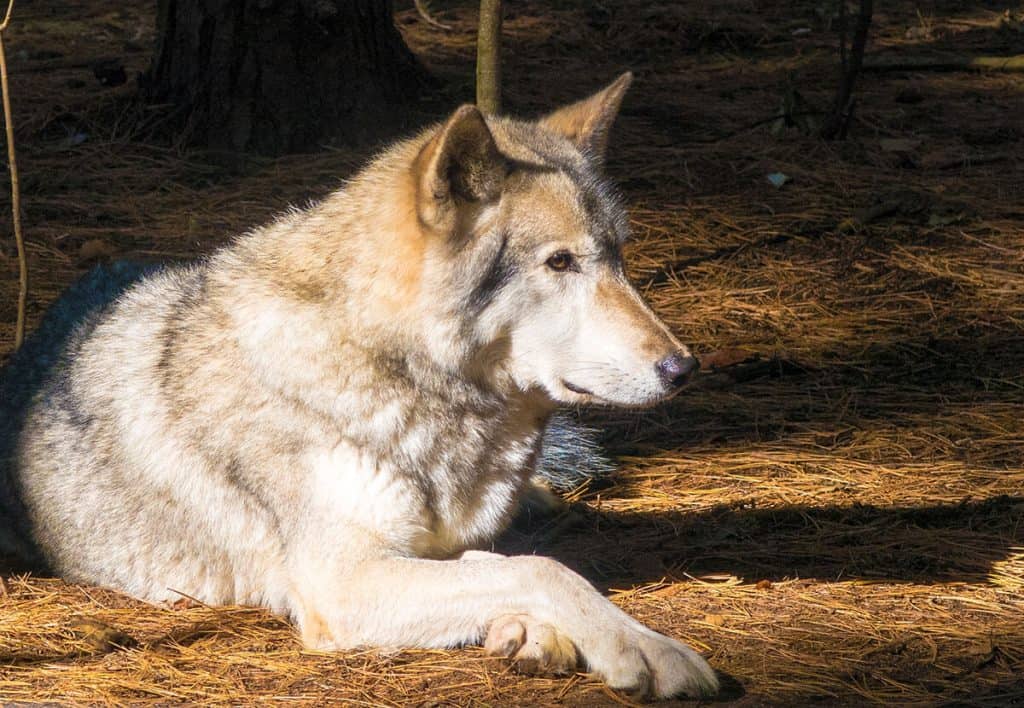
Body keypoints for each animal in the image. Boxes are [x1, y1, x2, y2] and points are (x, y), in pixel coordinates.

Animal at [0, 76, 720, 696]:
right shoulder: (344, 583)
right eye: (561, 262)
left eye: (620, 256)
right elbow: (542, 570)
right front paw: (646, 650)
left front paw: (534, 632)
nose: (682, 368)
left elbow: (504, 564)